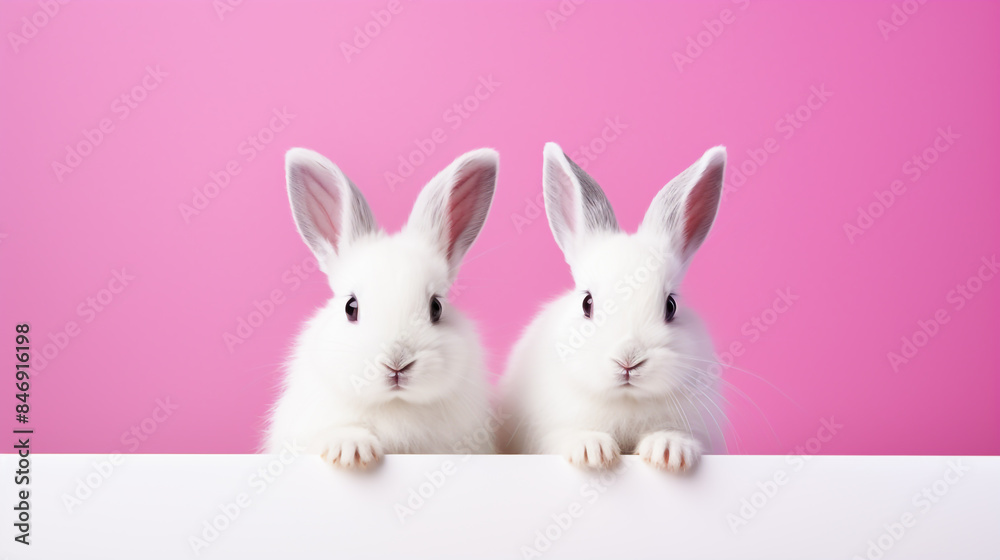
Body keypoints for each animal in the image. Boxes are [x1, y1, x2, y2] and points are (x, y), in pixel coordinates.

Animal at [498, 142, 728, 472]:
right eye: (587, 303)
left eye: (671, 306)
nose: (628, 360)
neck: (626, 400)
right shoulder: (545, 434)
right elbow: (568, 436)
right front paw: (592, 452)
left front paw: (668, 452)